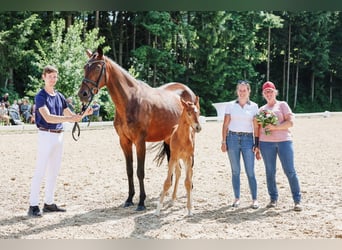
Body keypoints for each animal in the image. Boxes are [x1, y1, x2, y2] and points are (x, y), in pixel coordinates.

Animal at [76, 47, 196, 211]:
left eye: (98, 67)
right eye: (85, 67)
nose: (83, 94)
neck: (130, 101)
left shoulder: (140, 142)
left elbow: (140, 171)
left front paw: (141, 202)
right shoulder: (124, 141)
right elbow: (129, 171)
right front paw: (129, 199)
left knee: (190, 165)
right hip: (169, 140)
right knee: (175, 168)